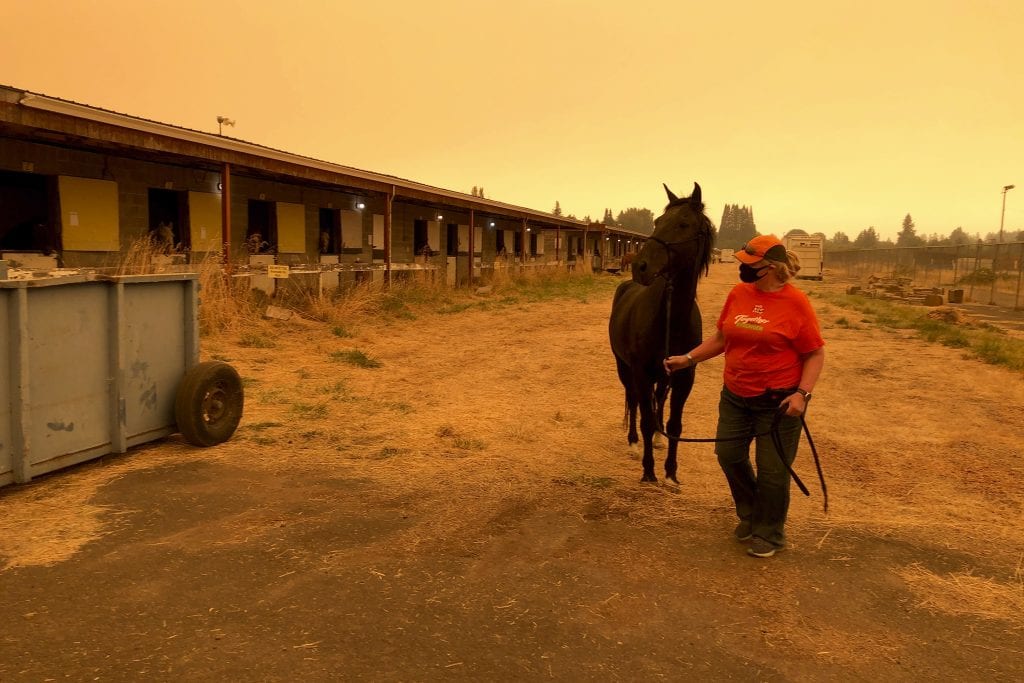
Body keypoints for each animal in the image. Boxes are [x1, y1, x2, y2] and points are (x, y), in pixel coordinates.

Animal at [606, 184, 712, 483]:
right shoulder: (640, 371)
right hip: (624, 368)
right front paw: (649, 471)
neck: (670, 320)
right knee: (633, 400)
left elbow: (674, 423)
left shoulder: (684, 376)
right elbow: (644, 417)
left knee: (658, 401)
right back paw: (633, 443)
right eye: (657, 221)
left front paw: (671, 473)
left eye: (683, 224)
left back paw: (657, 438)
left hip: (663, 377)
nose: (640, 266)